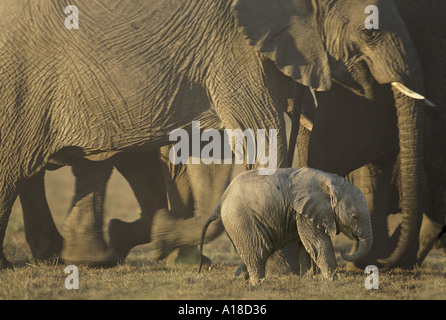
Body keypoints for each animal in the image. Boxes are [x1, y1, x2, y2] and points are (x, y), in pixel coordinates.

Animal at [199, 166, 372, 284]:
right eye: (354, 217)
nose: (344, 250)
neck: (330, 182)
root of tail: (221, 199)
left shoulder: (302, 212)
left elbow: (305, 245)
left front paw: (307, 280)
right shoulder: (304, 211)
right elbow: (317, 243)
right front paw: (332, 281)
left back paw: (240, 278)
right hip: (241, 219)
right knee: (259, 250)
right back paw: (258, 283)